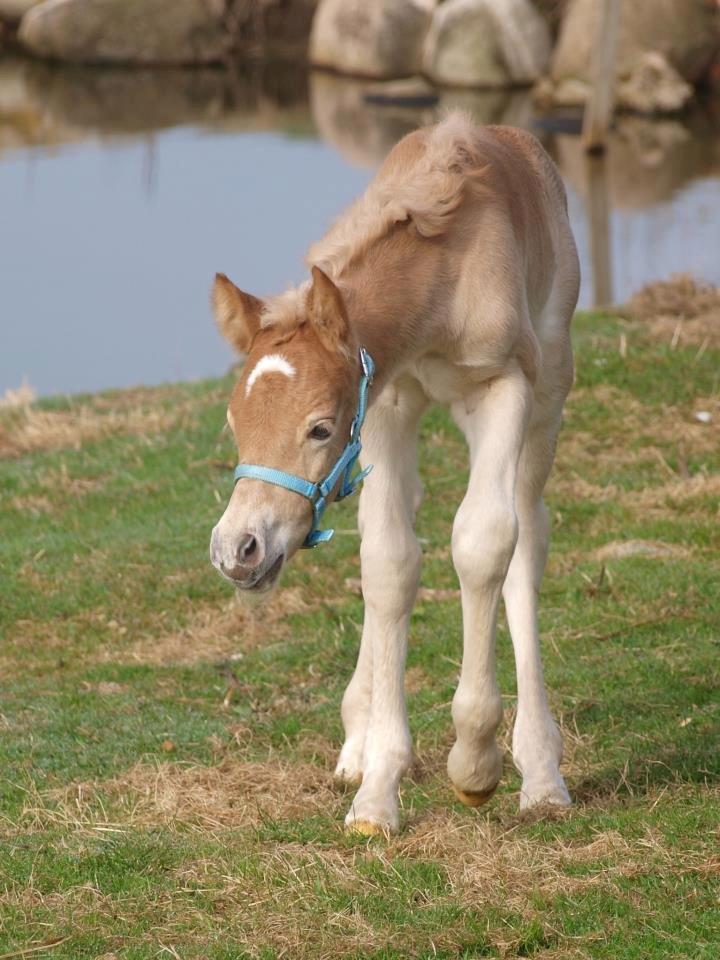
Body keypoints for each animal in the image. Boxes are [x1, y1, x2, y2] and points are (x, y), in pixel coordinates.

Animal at [208, 112, 580, 832]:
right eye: (236, 423)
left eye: (319, 428)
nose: (238, 550)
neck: (441, 283)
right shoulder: (386, 400)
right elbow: (388, 564)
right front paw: (377, 790)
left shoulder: (503, 387)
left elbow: (484, 542)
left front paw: (476, 764)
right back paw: (358, 736)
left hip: (549, 390)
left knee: (529, 533)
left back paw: (541, 772)